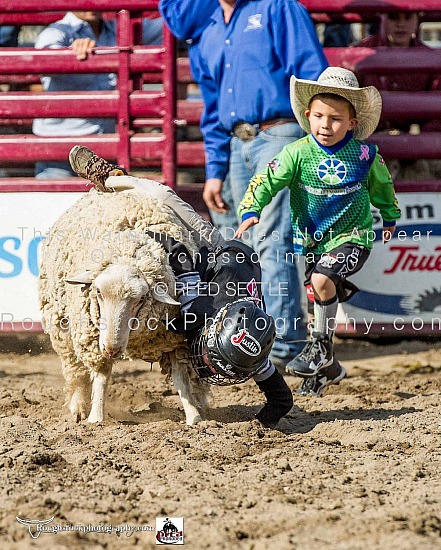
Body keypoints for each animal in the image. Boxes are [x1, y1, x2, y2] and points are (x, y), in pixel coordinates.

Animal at [38, 190, 210, 426]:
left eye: (141, 298)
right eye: (98, 292)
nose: (112, 348)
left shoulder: (174, 341)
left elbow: (180, 378)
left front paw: (194, 416)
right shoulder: (94, 342)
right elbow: (101, 377)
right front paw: (96, 417)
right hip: (62, 328)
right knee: (75, 370)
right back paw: (78, 407)